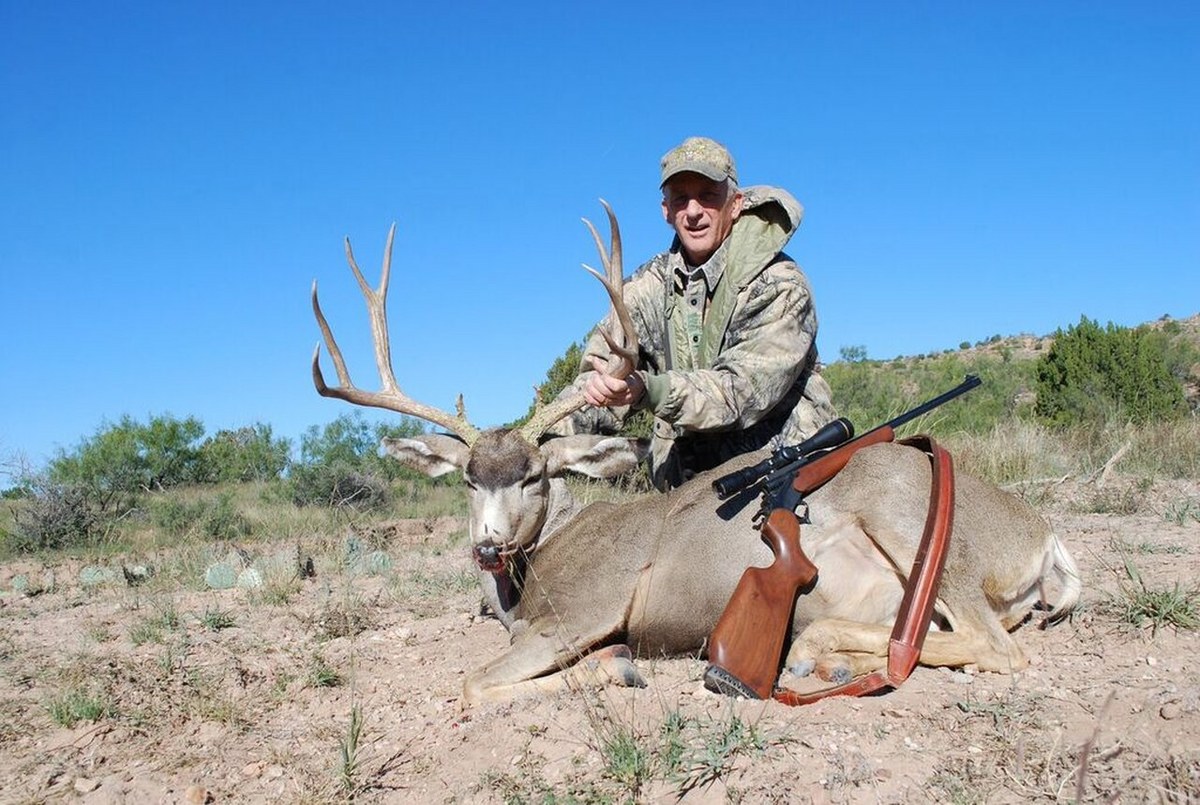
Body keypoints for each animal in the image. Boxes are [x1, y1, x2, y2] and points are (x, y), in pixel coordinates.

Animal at [311, 205, 1082, 705]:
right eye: (469, 479)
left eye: (533, 475)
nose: (487, 546)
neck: (535, 572)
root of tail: (1042, 538)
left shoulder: (586, 608)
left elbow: (474, 684)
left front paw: (618, 669)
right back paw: (823, 657)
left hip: (912, 517)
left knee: (997, 645)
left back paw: (812, 657)